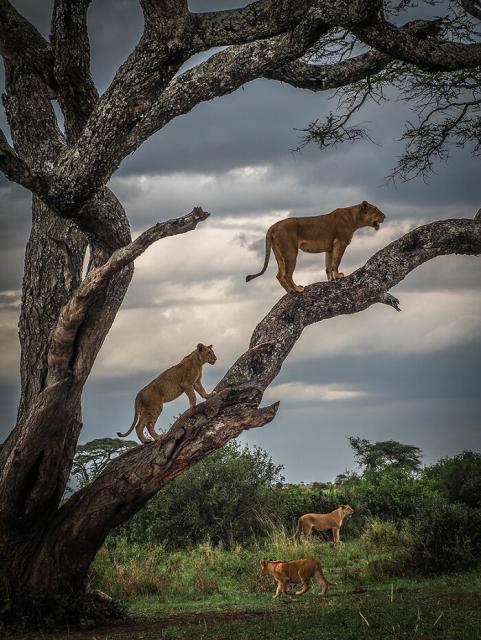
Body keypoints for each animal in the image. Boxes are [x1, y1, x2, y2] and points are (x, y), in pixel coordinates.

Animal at [246, 201, 386, 292]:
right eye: (376, 209)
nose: (384, 216)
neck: (354, 218)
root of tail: (274, 225)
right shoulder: (341, 242)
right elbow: (336, 261)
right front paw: (339, 275)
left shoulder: (330, 247)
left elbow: (329, 265)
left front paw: (331, 279)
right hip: (291, 252)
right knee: (287, 274)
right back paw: (297, 289)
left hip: (278, 254)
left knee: (279, 275)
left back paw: (290, 291)